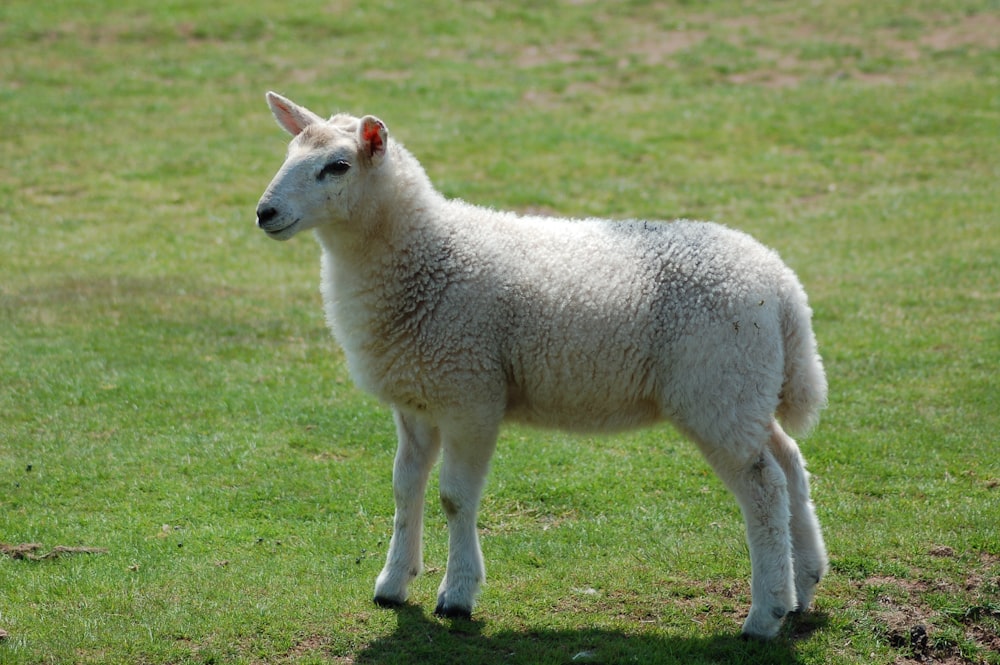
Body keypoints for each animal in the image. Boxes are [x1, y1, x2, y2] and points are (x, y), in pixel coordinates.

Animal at [256, 93, 828, 640]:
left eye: (337, 166)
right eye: (287, 154)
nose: (264, 213)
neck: (425, 255)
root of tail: (783, 287)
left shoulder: (471, 394)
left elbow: (454, 498)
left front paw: (457, 595)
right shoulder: (416, 400)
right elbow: (404, 489)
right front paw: (394, 583)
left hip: (718, 390)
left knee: (764, 488)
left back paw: (765, 615)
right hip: (745, 388)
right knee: (789, 461)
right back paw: (804, 584)